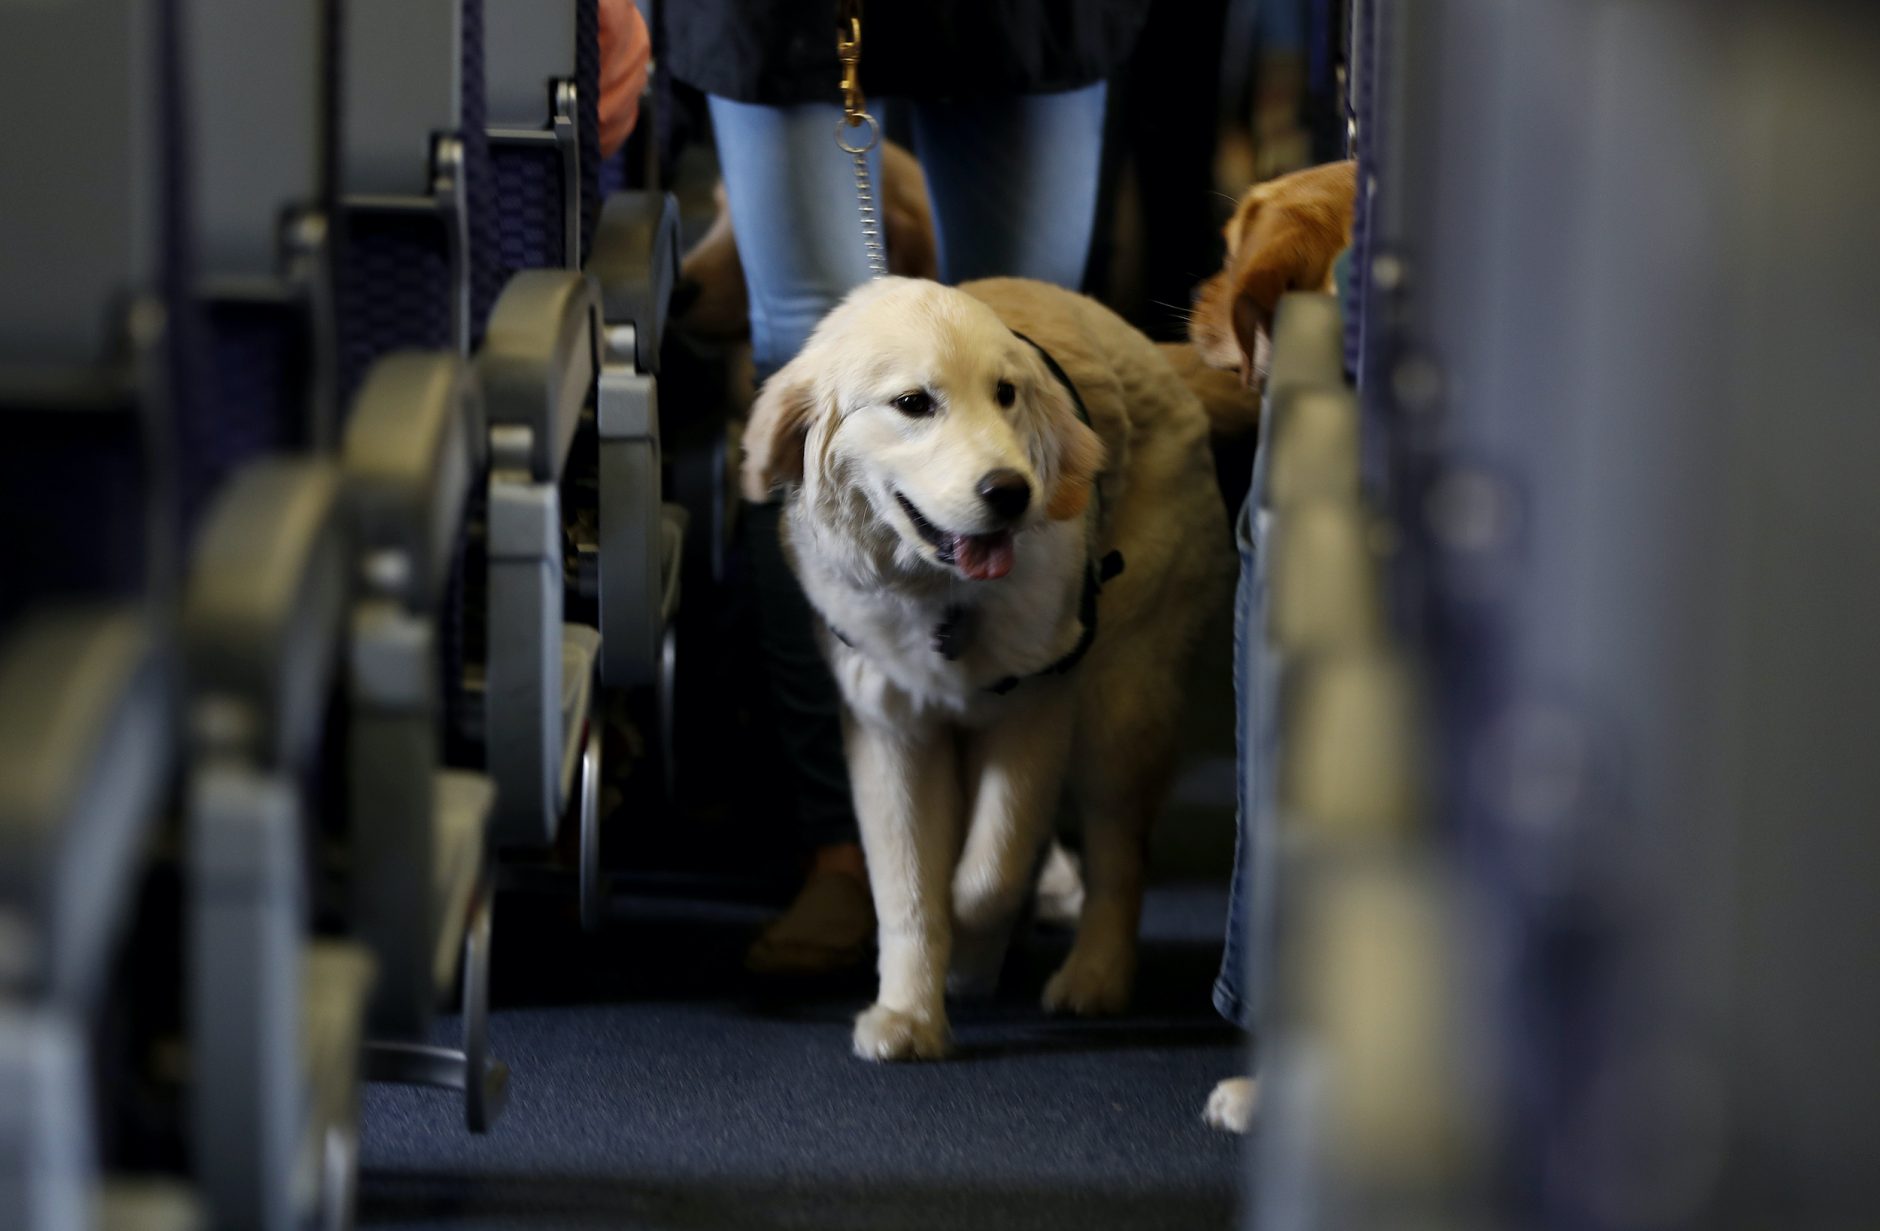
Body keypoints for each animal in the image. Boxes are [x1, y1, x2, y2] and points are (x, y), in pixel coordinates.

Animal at [740, 276, 1240, 1059]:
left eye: (1006, 394)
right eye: (913, 403)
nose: (1011, 492)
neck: (942, 596)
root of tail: (1154, 353)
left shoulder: (1035, 708)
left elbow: (987, 873)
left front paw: (971, 958)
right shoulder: (890, 729)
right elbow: (908, 886)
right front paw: (909, 1014)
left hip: (1123, 700)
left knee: (1119, 853)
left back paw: (1094, 975)